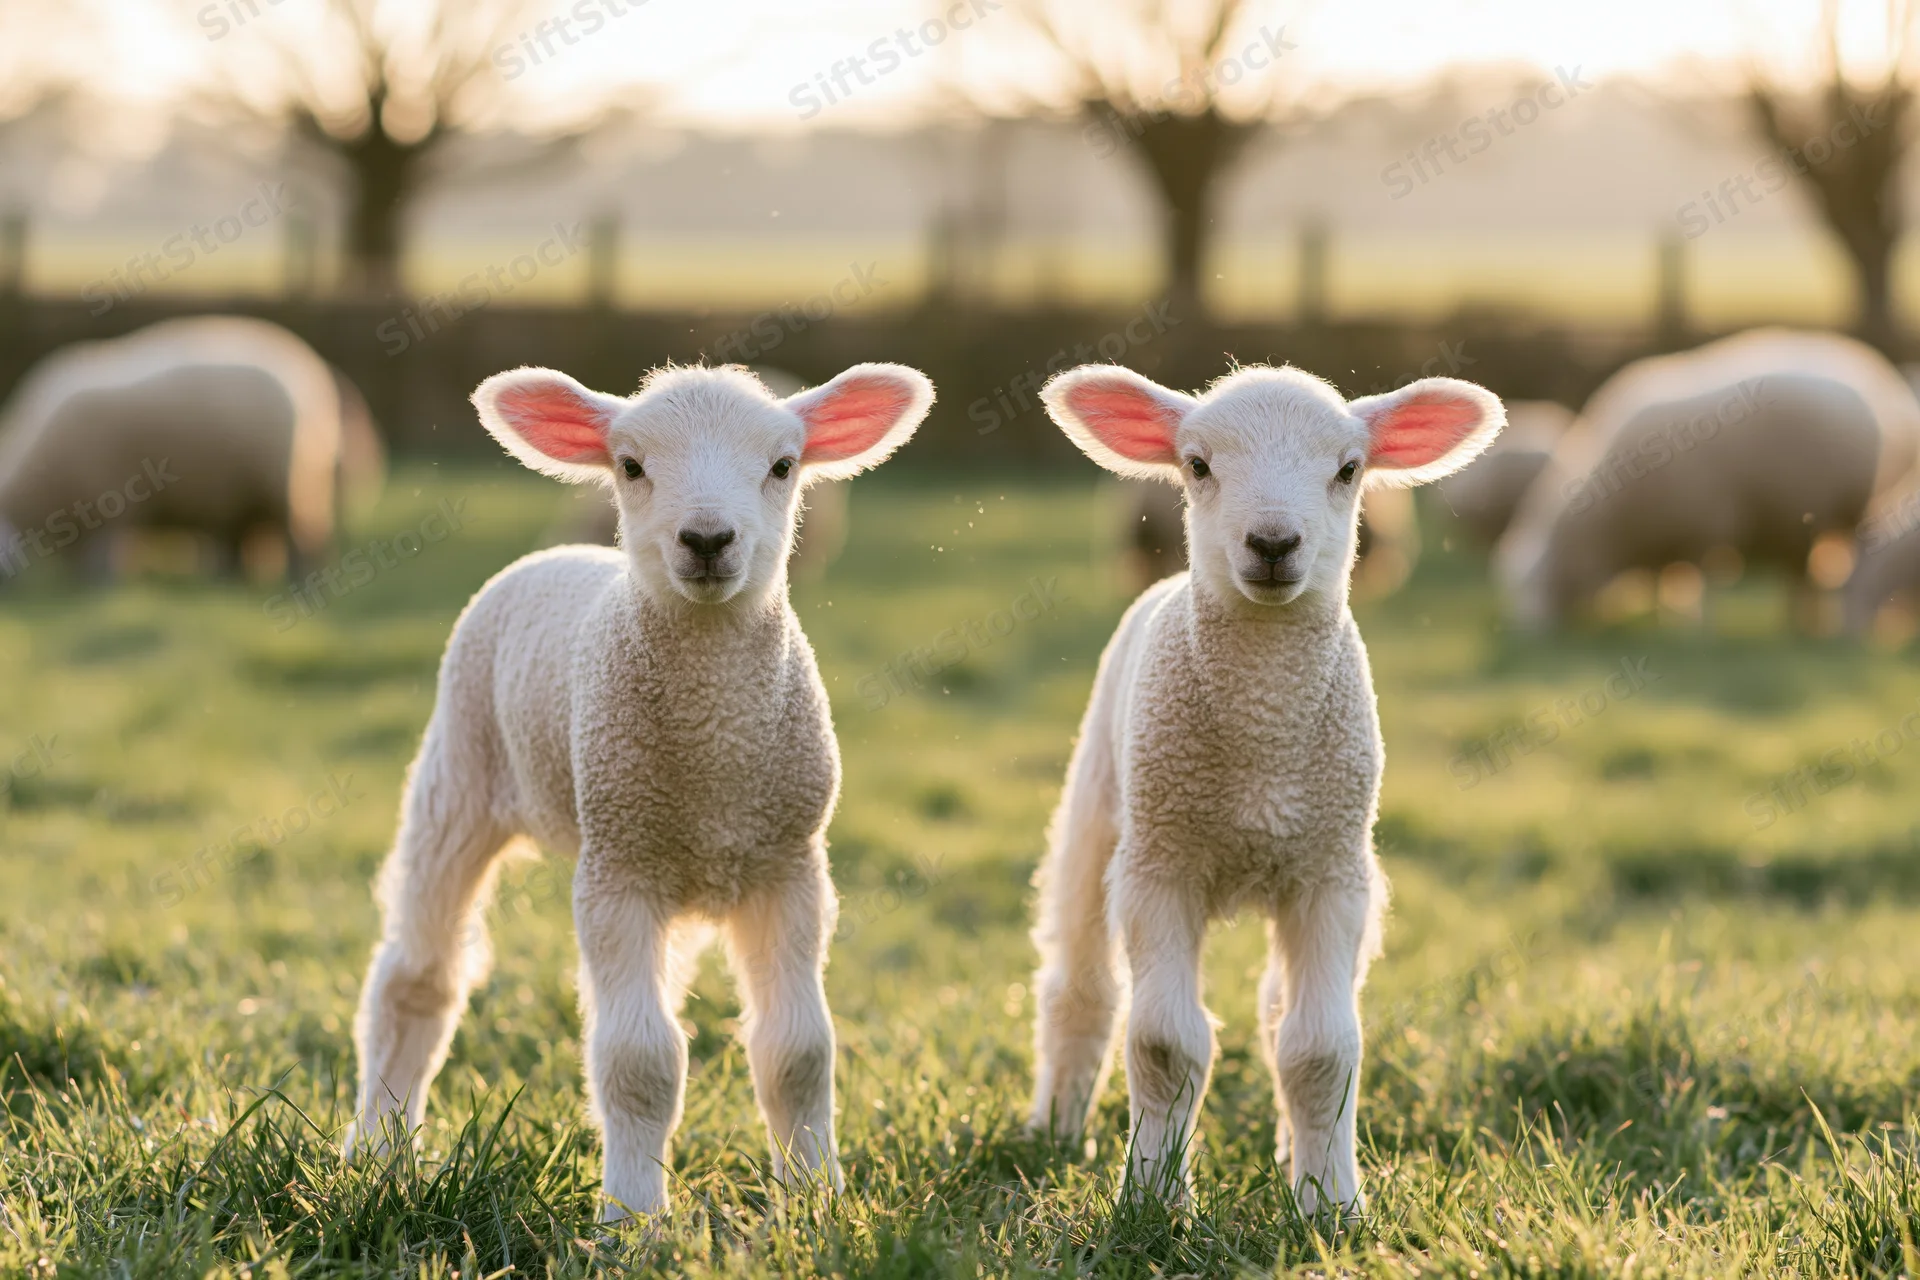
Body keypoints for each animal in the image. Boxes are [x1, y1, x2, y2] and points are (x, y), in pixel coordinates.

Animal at [0, 316, 344, 578]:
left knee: (301, 538)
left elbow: (104, 557)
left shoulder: (107, 500)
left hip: (289, 485)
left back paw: (294, 577)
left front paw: (101, 585)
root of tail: (314, 377)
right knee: (242, 538)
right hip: (250, 494)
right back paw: (229, 577)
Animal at [346, 361, 933, 1222]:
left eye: (783, 466)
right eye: (630, 466)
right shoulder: (618, 868)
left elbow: (798, 1053)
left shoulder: (789, 865)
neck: (715, 750)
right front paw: (633, 1218)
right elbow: (638, 1060)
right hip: (459, 774)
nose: (708, 540)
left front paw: (813, 1199)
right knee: (417, 979)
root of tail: (561, 553)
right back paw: (378, 1151)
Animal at [1029, 363, 1503, 1212]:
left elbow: (1319, 1050)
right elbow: (1163, 1044)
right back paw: (1054, 1126)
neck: (1262, 746)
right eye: (1197, 465)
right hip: (1098, 811)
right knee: (1078, 990)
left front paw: (1329, 1203)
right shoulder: (1161, 868)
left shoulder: (1331, 876)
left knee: (1280, 1011)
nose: (1274, 543)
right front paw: (1153, 1202)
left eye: (1349, 469)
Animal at [1499, 372, 1884, 629]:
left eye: (1539, 583)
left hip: (1835, 512)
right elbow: (1662, 577)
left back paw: (1804, 625)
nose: (1529, 635)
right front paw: (1663, 617)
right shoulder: (1661, 535)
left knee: (1811, 576)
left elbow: (1704, 582)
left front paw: (1699, 629)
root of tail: (1857, 395)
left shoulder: (1705, 526)